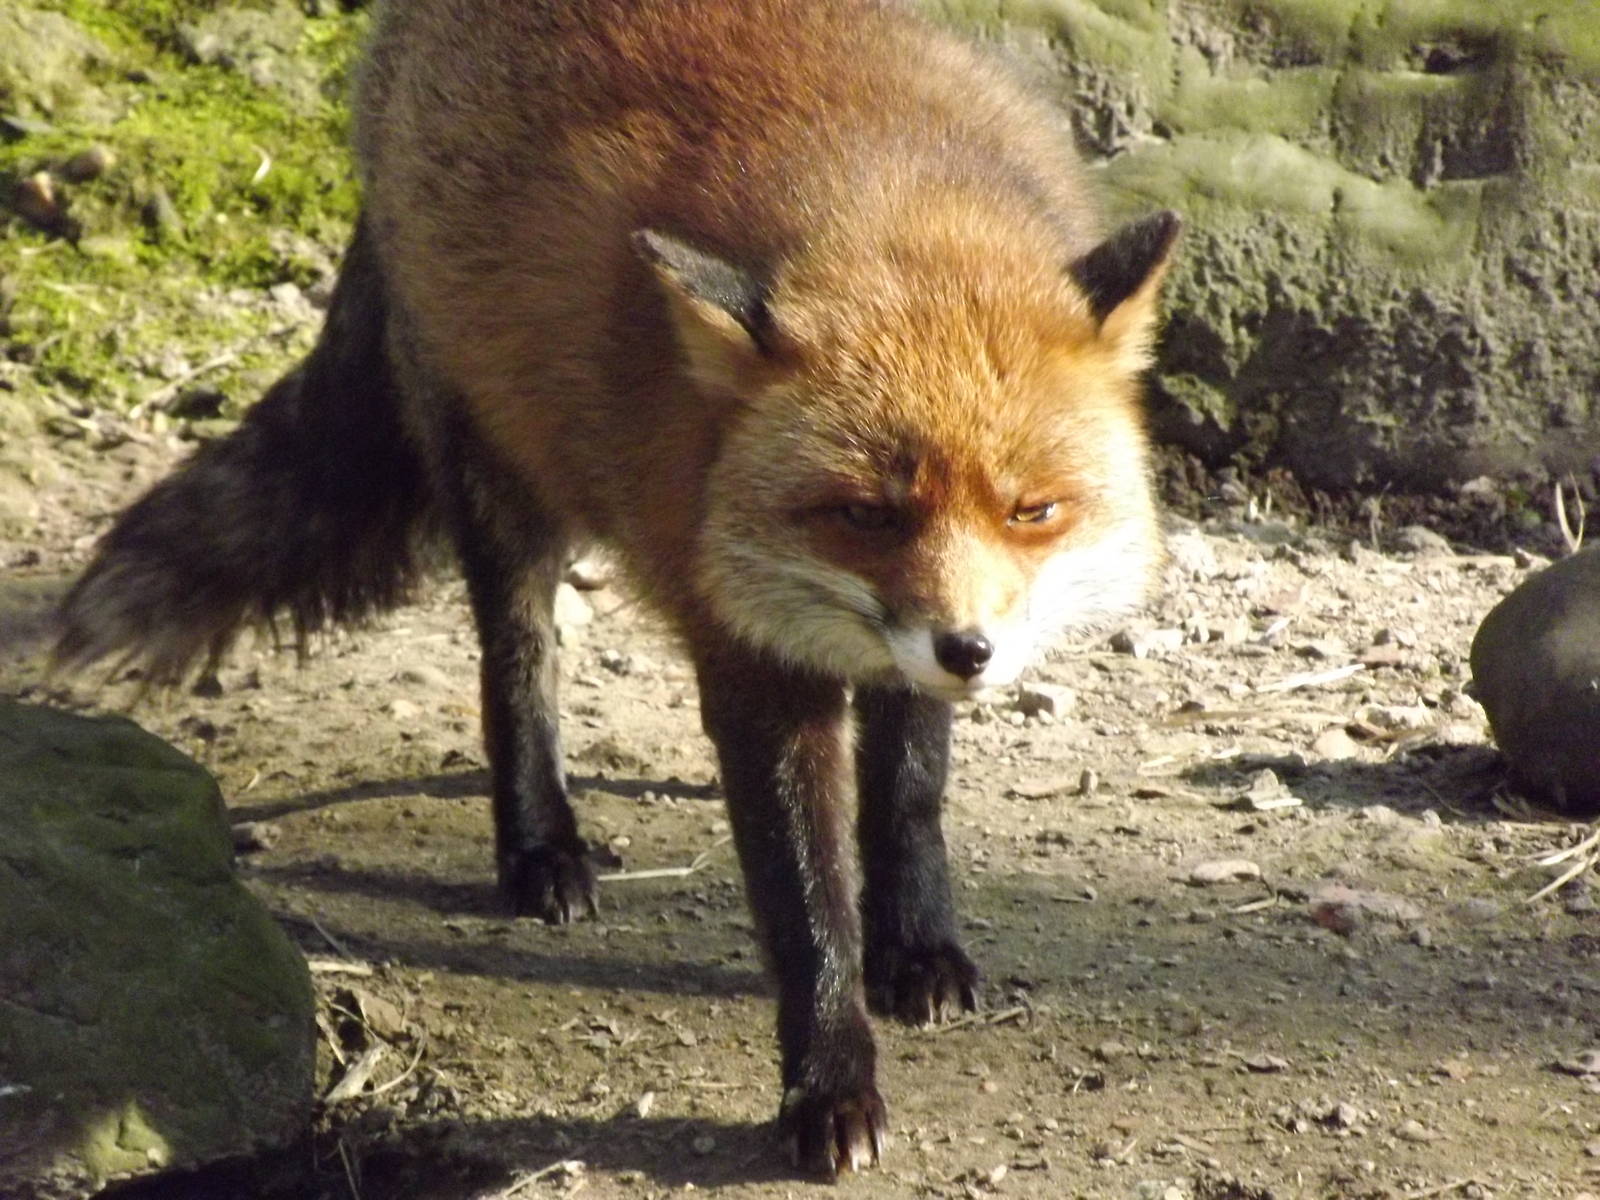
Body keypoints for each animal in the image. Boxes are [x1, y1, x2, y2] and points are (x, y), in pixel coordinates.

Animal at [54, 0, 1178, 1177]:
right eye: (866, 515)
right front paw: (828, 1086)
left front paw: (917, 946)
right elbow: (803, 903)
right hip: (497, 473)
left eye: (1032, 511)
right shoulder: (747, 648)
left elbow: (908, 791)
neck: (884, 202)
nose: (968, 652)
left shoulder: (896, 648)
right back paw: (540, 846)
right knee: (517, 667)